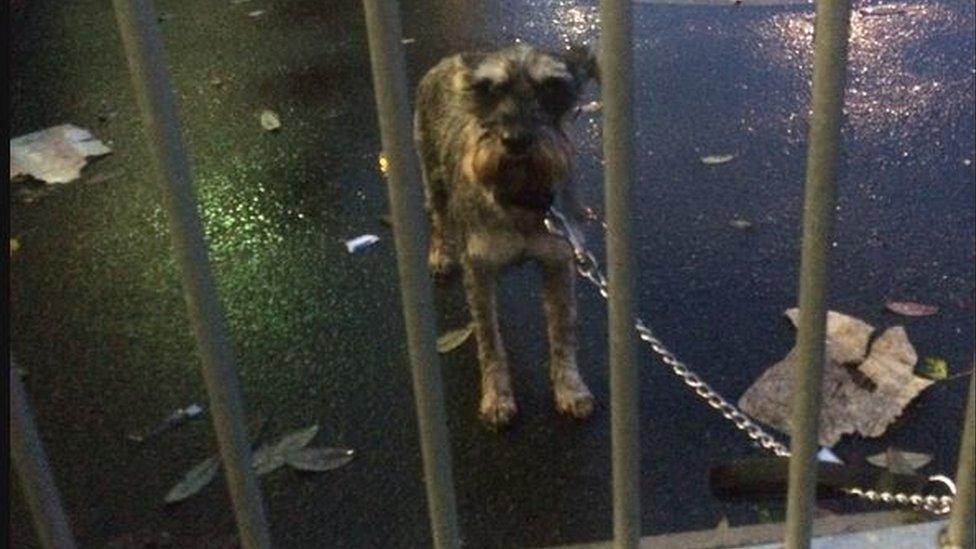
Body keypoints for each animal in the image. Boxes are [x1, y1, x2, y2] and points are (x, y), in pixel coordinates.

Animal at [414, 42, 600, 428]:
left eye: (552, 88)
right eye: (488, 90)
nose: (516, 141)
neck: (521, 199)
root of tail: (445, 63)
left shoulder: (558, 263)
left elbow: (563, 331)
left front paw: (571, 388)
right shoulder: (479, 271)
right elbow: (489, 341)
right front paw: (497, 398)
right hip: (432, 177)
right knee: (438, 218)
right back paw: (440, 255)